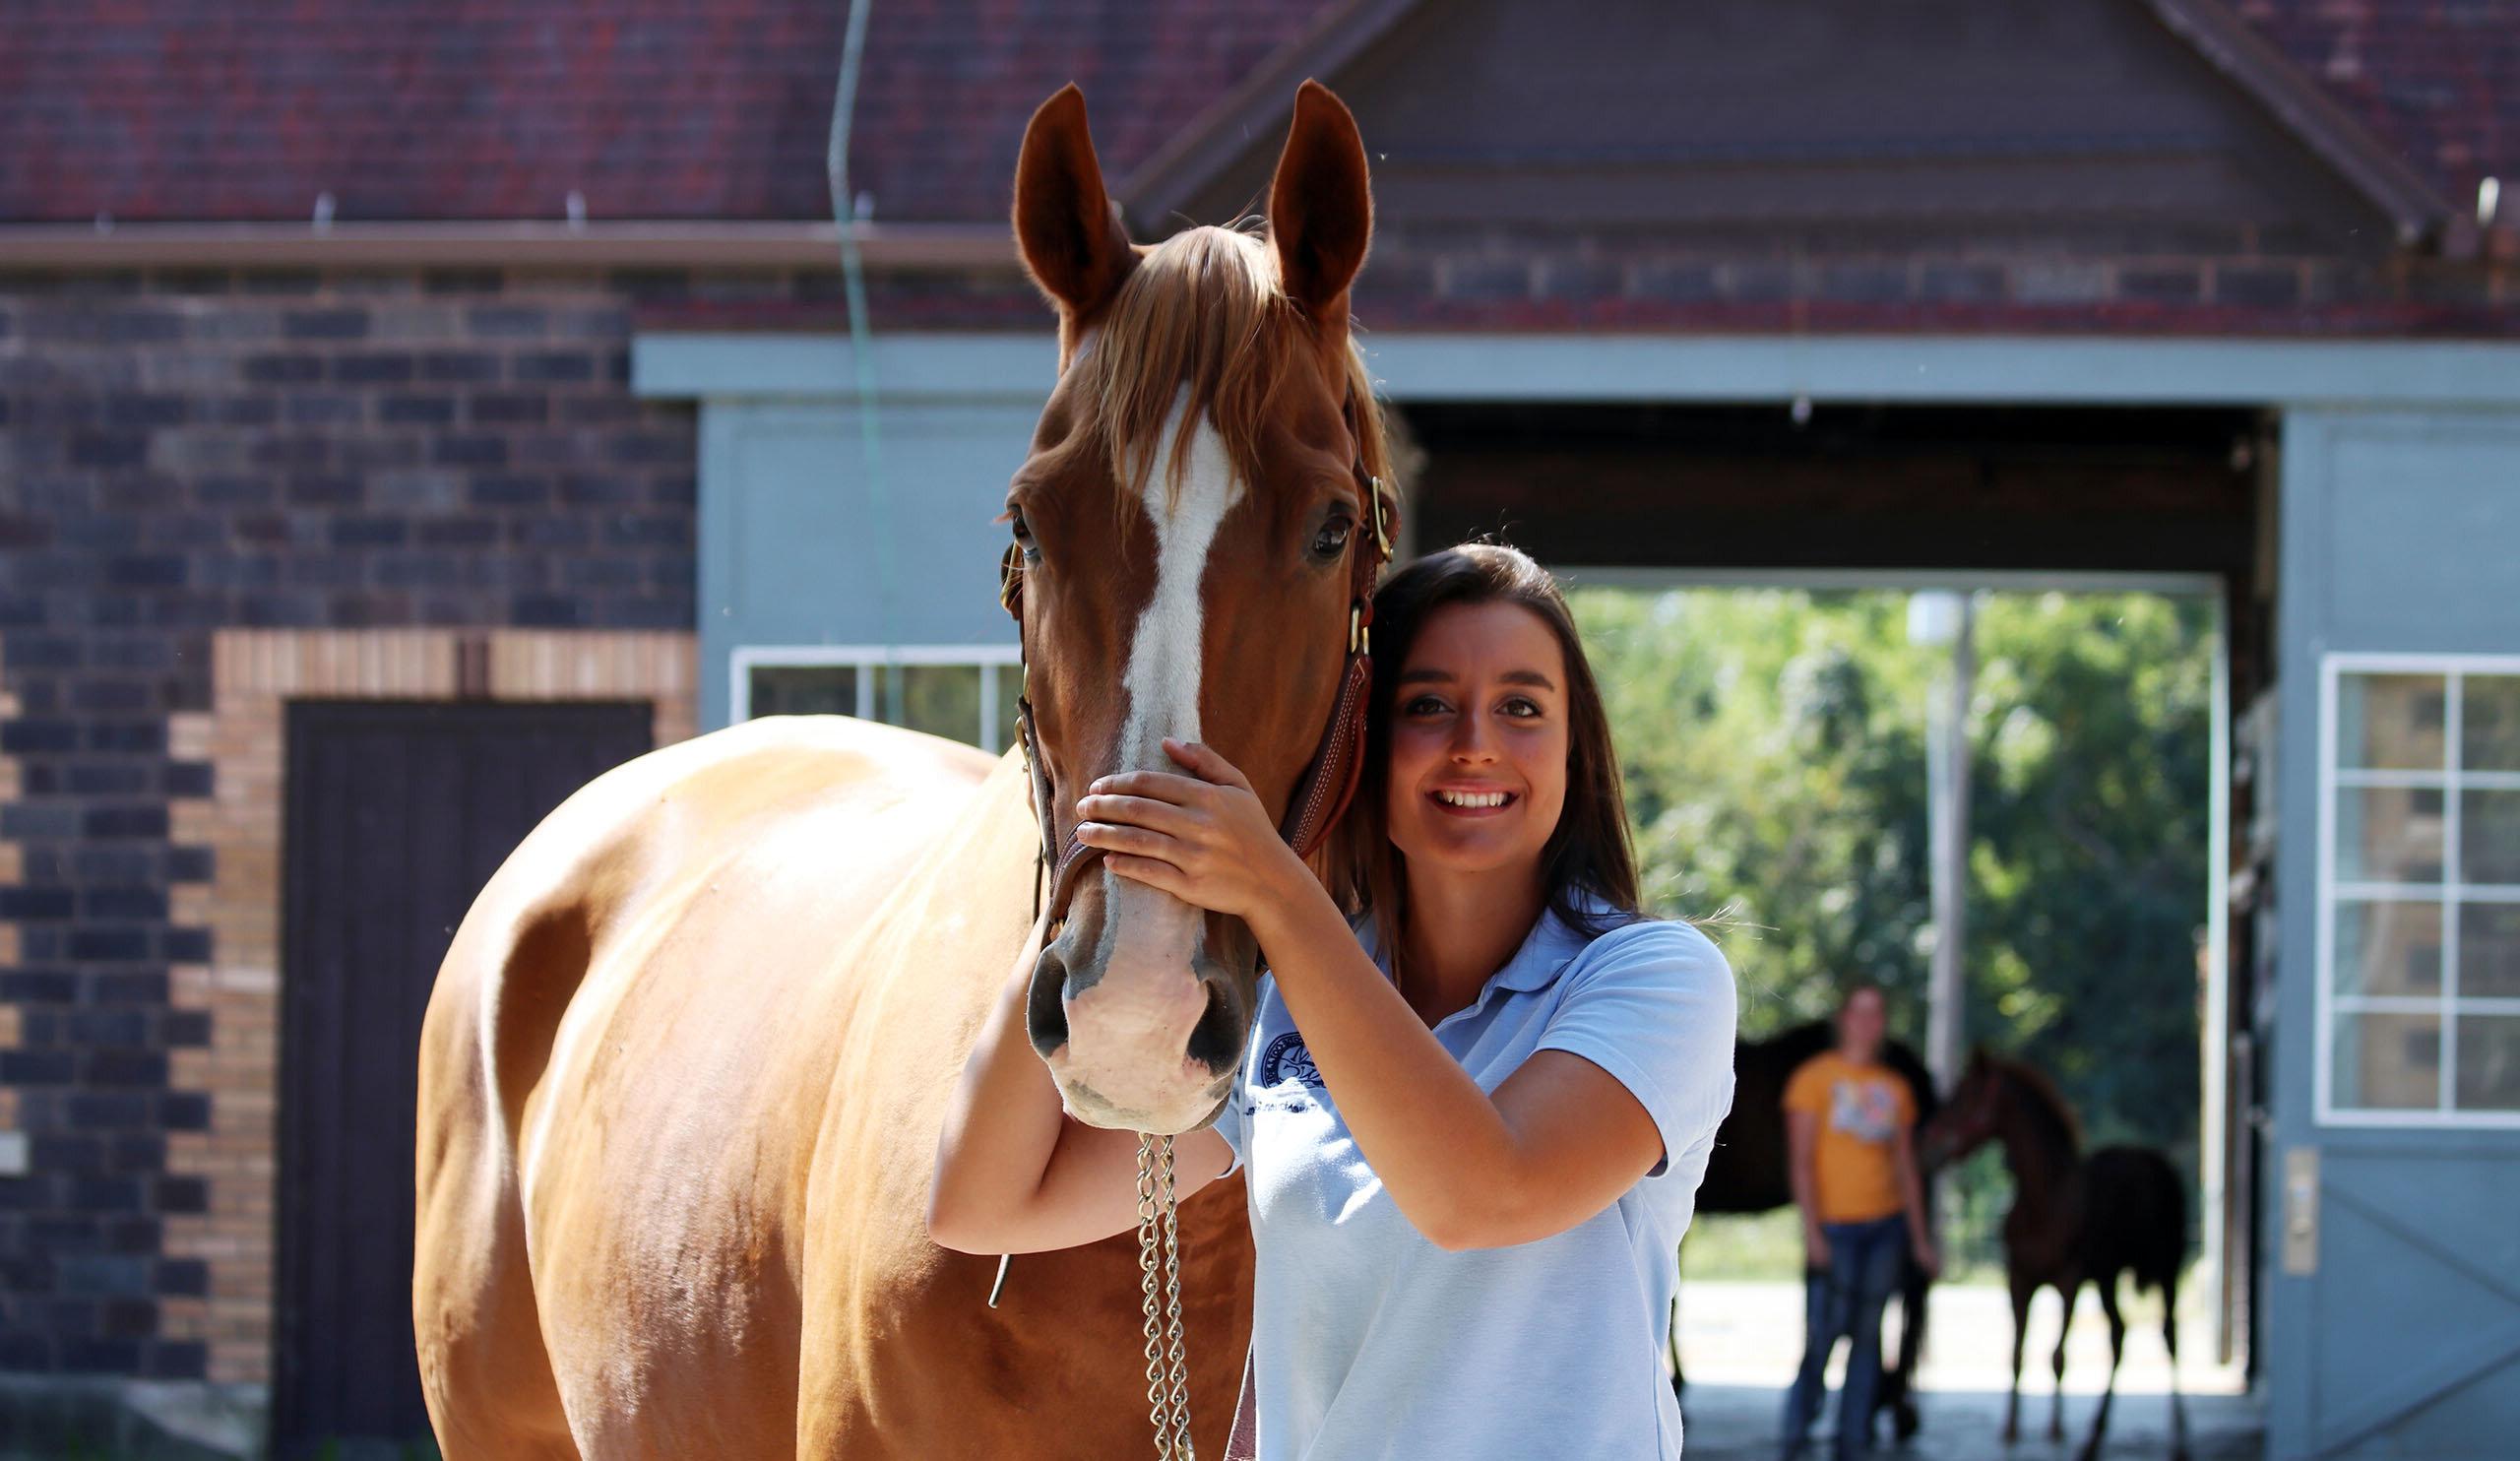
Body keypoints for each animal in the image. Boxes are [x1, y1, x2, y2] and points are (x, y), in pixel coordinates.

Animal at [1924, 1048, 2187, 1461]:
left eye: (1966, 1095)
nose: (1927, 1144)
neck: (2045, 1201)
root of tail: (2154, 1161)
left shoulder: (2069, 1280)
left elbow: (2057, 1357)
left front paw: (2055, 1430)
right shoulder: (2018, 1279)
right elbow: (2016, 1353)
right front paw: (2011, 1431)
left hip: (2167, 1267)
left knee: (2169, 1335)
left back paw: (2177, 1438)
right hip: (2109, 1277)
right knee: (2119, 1335)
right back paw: (2093, 1438)